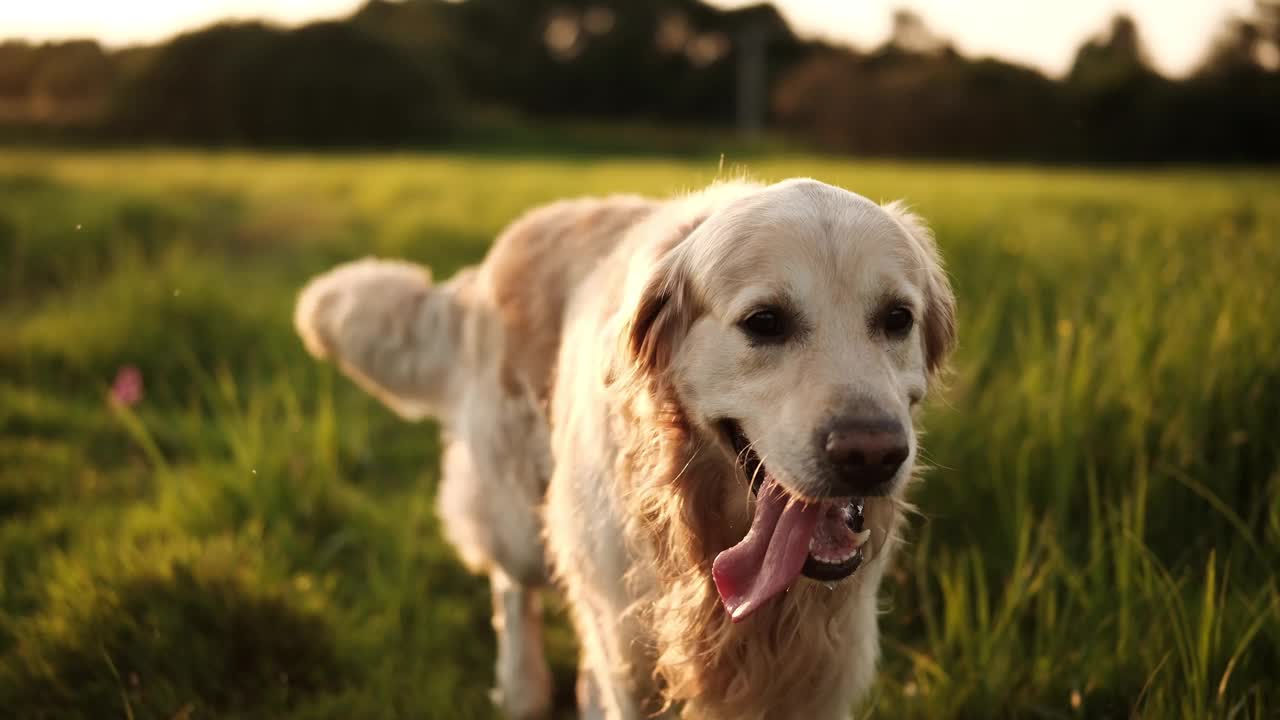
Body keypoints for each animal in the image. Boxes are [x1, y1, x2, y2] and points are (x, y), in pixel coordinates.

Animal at [296, 176, 952, 712]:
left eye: (897, 318)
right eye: (765, 322)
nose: (872, 454)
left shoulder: (819, 679)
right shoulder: (629, 656)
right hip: (525, 520)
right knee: (512, 586)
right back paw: (522, 687)